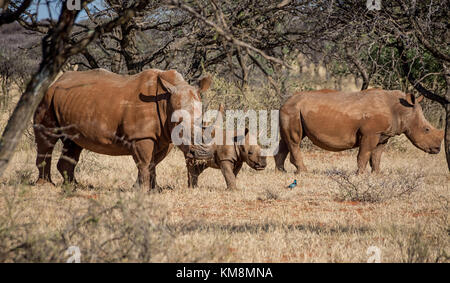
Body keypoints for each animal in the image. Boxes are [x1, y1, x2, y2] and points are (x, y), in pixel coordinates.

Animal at [33, 69, 213, 192]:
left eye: (203, 121)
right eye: (180, 124)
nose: (203, 153)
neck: (165, 101)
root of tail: (56, 81)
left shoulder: (165, 137)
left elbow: (153, 162)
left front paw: (154, 190)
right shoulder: (141, 136)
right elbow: (144, 162)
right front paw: (141, 191)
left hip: (71, 102)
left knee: (73, 143)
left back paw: (73, 186)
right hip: (47, 98)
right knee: (47, 138)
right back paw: (46, 185)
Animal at [274, 89, 442, 173]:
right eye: (427, 129)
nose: (437, 149)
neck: (401, 109)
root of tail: (284, 102)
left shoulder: (383, 135)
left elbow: (376, 156)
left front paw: (377, 175)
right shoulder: (370, 133)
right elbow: (364, 154)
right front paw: (360, 175)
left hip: (293, 109)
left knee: (286, 141)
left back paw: (281, 171)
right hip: (293, 110)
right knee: (294, 140)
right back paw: (303, 172)